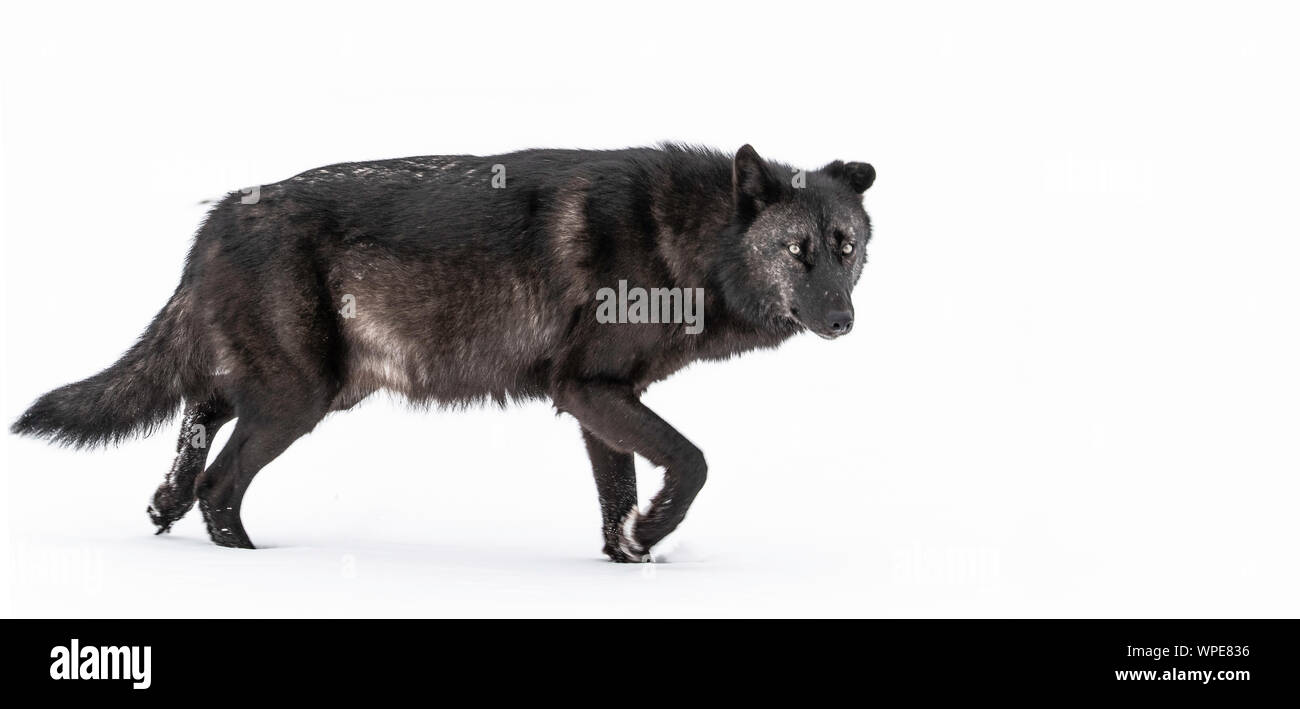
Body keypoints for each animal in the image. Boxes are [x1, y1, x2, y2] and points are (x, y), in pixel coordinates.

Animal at [11, 144, 875, 562]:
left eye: (846, 247)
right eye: (796, 250)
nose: (842, 321)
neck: (684, 241)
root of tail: (217, 215)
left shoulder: (597, 398)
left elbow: (617, 496)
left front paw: (631, 554)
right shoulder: (589, 389)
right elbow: (691, 462)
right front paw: (653, 533)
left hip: (306, 385)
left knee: (199, 414)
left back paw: (164, 503)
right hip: (301, 398)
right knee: (220, 484)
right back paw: (258, 564)